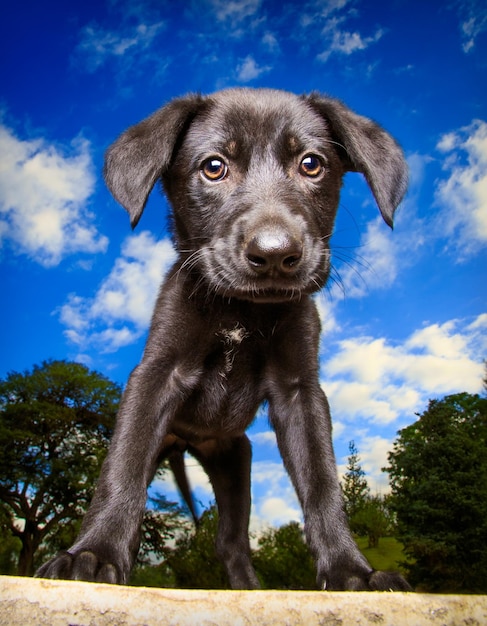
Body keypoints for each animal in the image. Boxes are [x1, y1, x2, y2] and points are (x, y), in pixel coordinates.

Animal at [36, 89, 412, 588]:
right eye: (214, 167)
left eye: (312, 164)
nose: (274, 254)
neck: (241, 309)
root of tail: (189, 441)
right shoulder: (157, 374)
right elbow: (121, 468)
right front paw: (93, 554)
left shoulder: (300, 391)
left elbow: (322, 482)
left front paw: (352, 570)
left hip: (235, 463)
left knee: (230, 542)